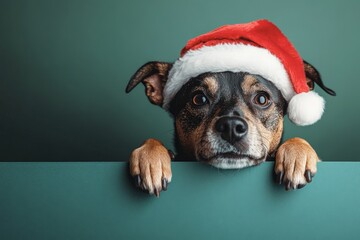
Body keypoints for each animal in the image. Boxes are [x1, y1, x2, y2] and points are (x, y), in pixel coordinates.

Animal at [124, 20, 334, 197]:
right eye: (199, 99)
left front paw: (297, 154)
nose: (231, 127)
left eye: (262, 98)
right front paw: (150, 158)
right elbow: (152, 142)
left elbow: (300, 141)